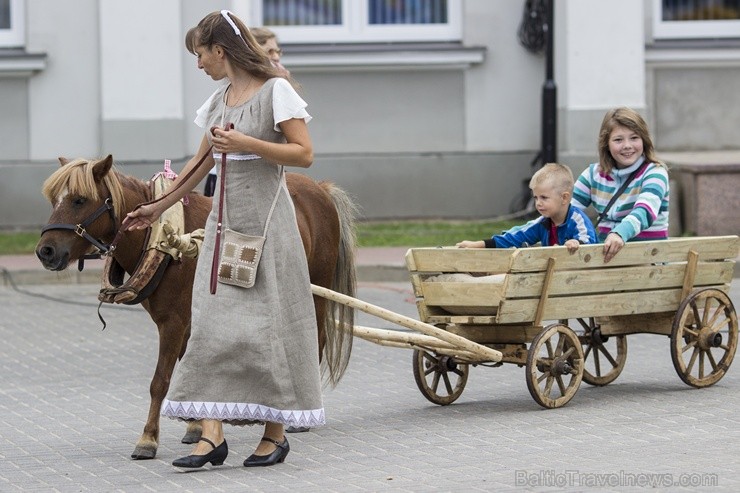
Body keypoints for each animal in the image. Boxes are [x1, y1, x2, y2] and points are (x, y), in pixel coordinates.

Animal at [36, 156, 356, 460]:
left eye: (79, 199)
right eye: (54, 200)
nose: (45, 251)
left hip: (315, 291)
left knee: (315, 342)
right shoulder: (187, 320)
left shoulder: (173, 323)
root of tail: (319, 189)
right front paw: (196, 425)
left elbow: (160, 381)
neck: (161, 240)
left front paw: (148, 439)